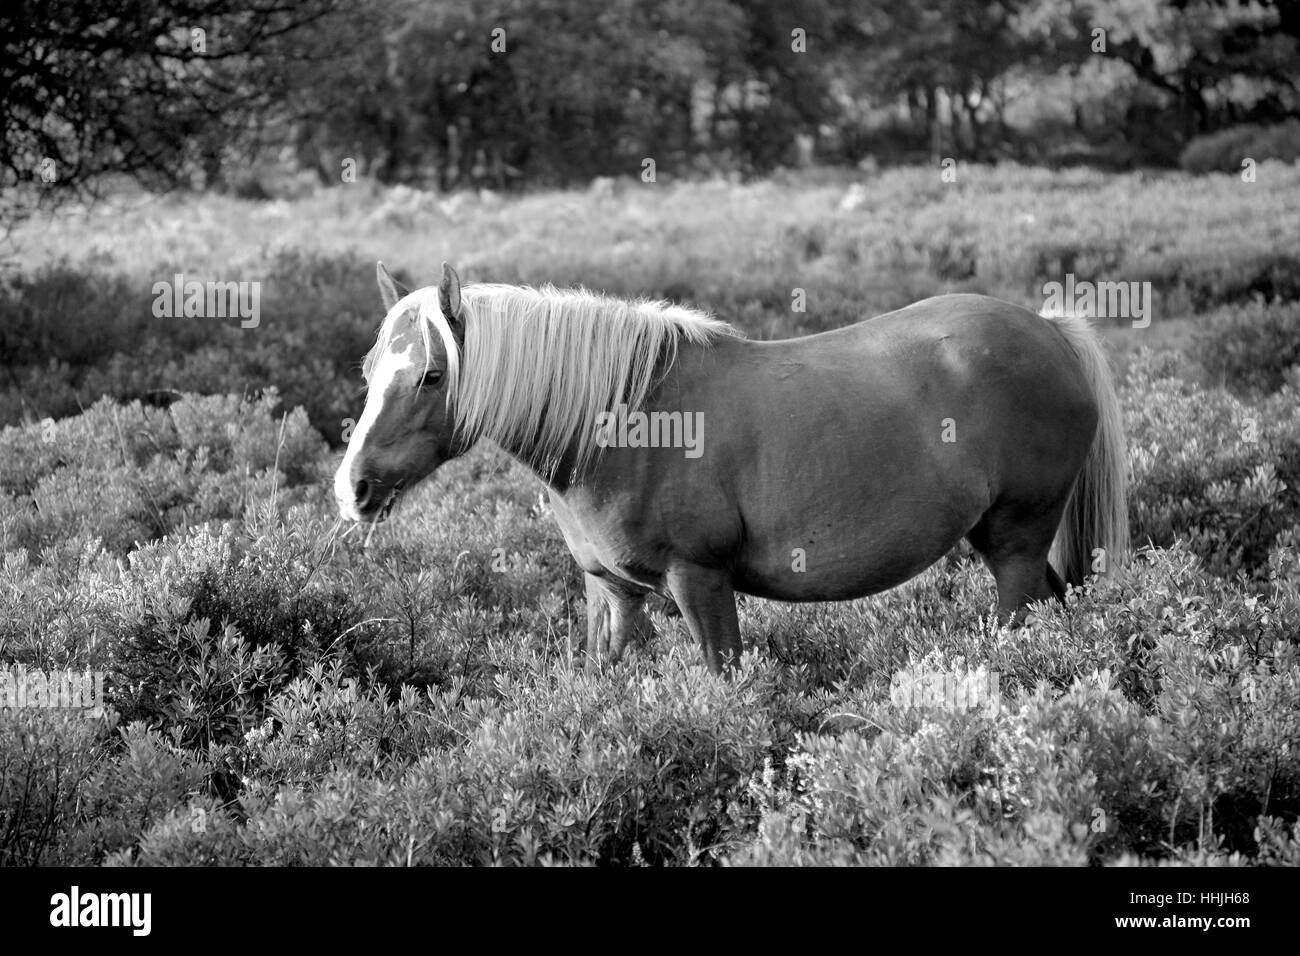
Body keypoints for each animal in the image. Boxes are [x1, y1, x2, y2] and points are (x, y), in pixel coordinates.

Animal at [335, 264, 1128, 671]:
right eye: (371, 370)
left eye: (432, 375)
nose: (354, 488)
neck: (623, 421)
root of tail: (1051, 330)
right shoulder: (612, 593)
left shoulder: (700, 580)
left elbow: (725, 679)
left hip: (1015, 540)